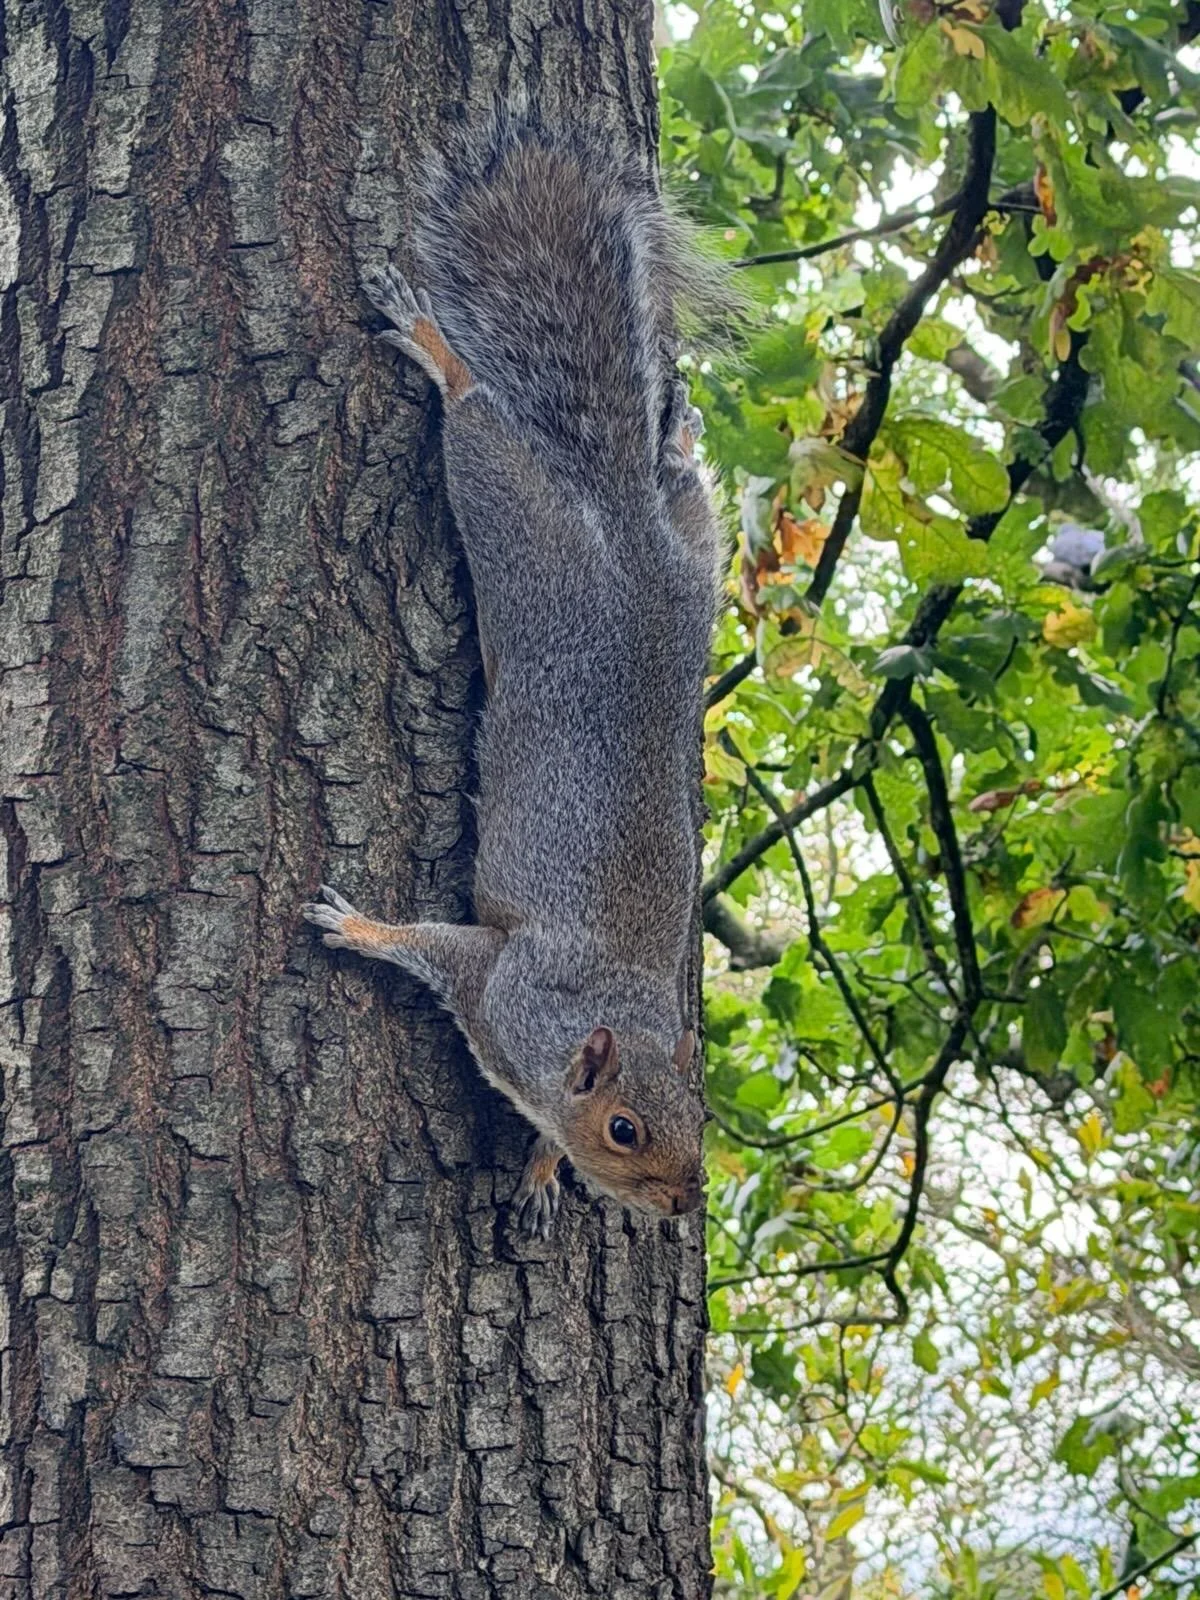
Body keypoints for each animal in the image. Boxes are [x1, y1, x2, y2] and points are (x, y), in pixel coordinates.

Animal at [303, 126, 726, 1237]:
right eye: (625, 1128)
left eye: (701, 1118)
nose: (681, 1201)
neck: (607, 1013)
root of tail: (618, 528)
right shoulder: (501, 983)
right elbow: (430, 946)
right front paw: (354, 925)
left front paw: (539, 1172)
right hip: (516, 521)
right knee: (479, 419)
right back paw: (432, 346)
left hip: (696, 568)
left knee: (686, 494)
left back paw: (677, 435)